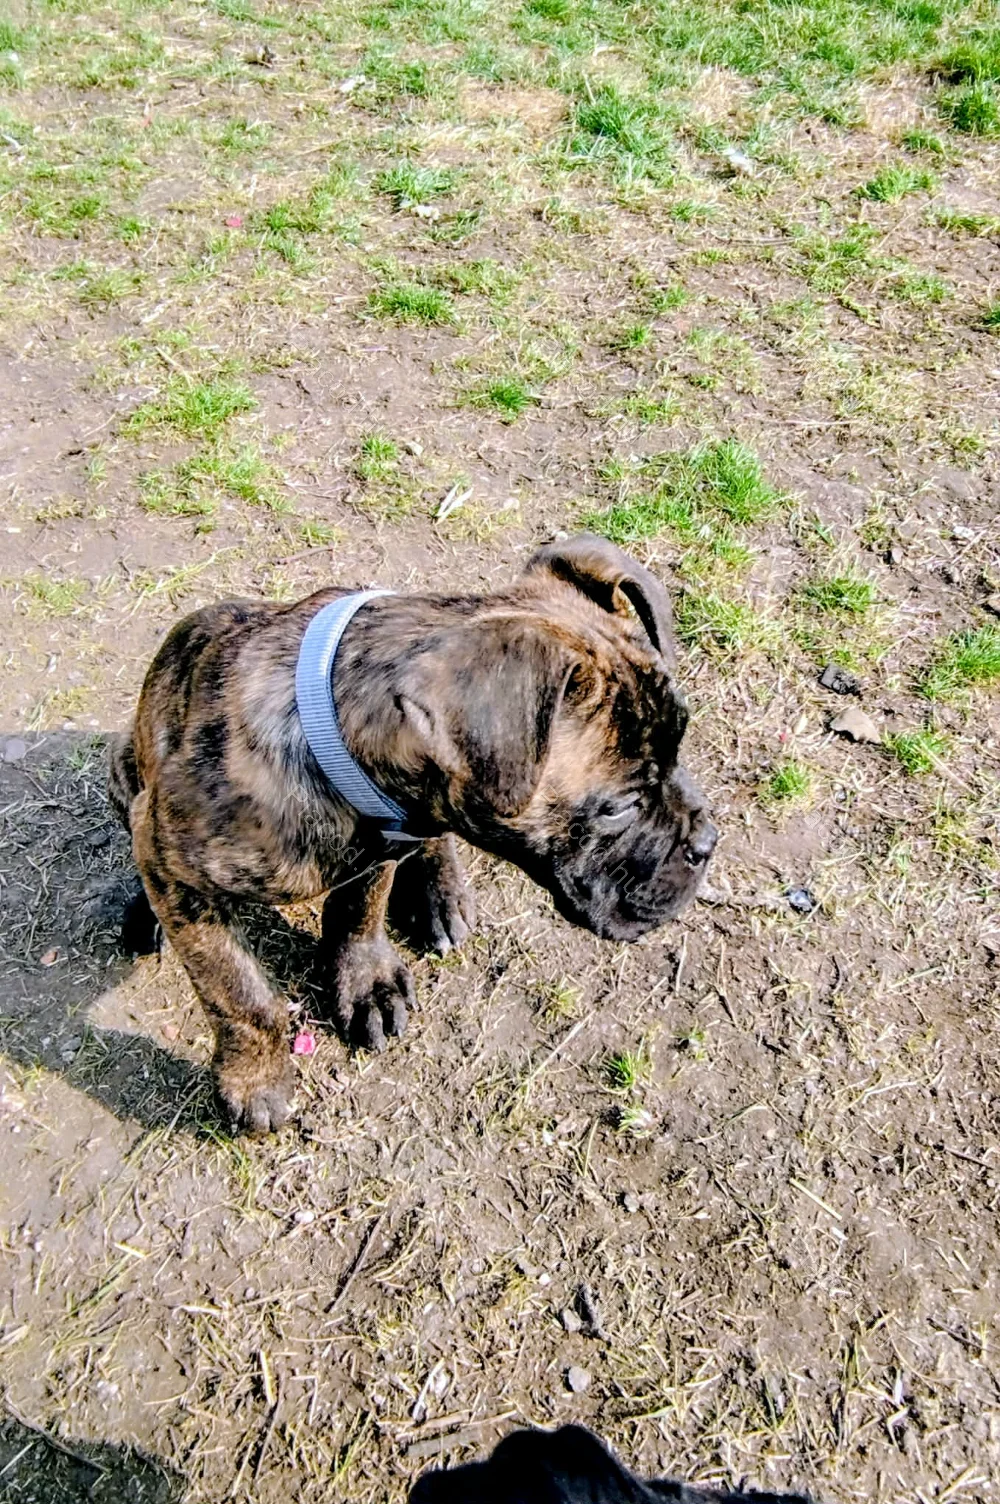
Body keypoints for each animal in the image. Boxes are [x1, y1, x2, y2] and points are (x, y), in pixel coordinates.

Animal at [108, 535, 716, 1133]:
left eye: (680, 747)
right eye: (620, 807)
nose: (708, 843)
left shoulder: (386, 841)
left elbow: (359, 907)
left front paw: (365, 982)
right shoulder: (169, 858)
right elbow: (238, 992)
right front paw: (255, 1080)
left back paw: (439, 892)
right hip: (123, 768)